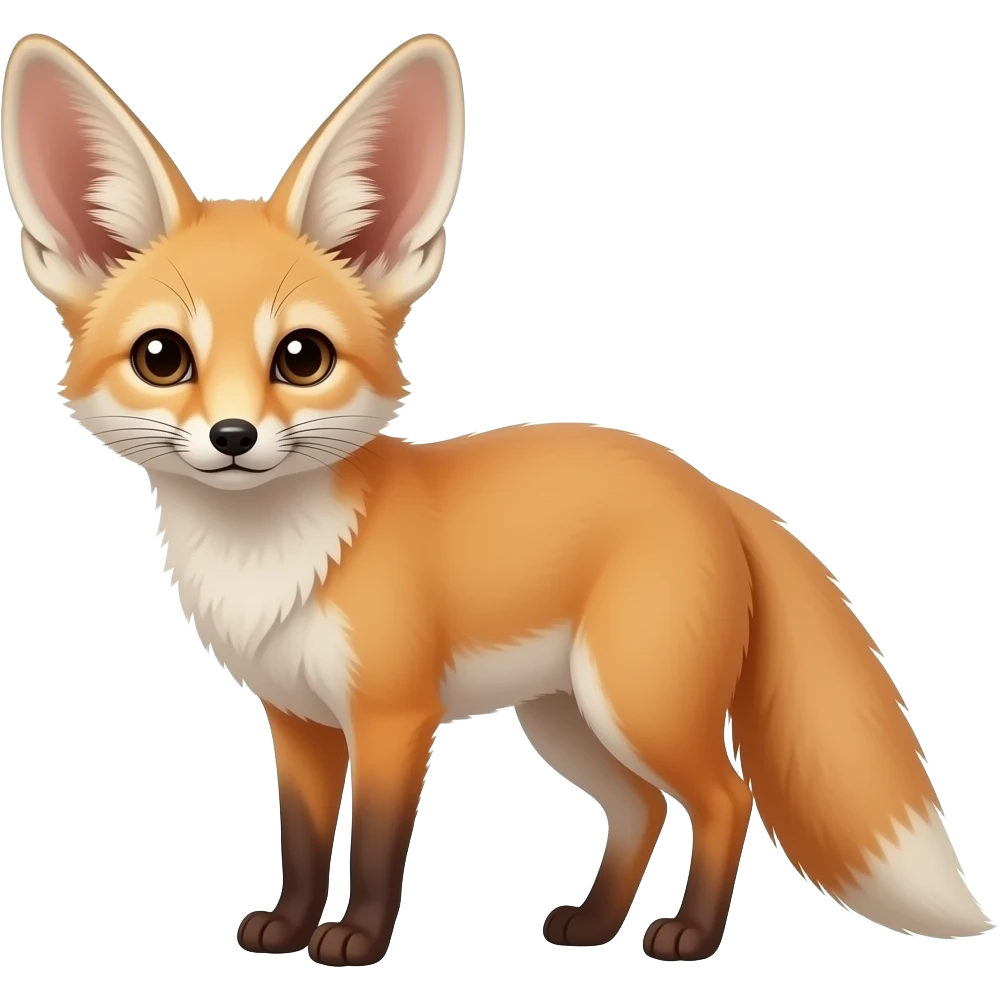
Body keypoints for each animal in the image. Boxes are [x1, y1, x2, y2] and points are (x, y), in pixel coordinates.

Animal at [3, 29, 994, 967]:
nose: (235, 438)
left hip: (636, 705)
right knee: (640, 809)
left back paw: (689, 937)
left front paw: (357, 941)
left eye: (302, 358)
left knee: (725, 796)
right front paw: (287, 929)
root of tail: (708, 485)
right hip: (565, 719)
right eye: (162, 358)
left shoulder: (394, 716)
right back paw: (594, 924)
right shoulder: (299, 724)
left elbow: (376, 848)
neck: (274, 564)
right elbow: (306, 844)